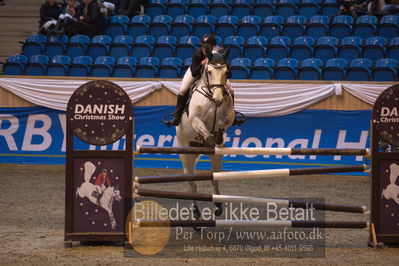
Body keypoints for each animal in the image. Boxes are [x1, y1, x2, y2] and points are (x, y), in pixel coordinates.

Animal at [177, 47, 236, 218]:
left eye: (226, 72)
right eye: (209, 71)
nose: (218, 99)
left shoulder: (229, 116)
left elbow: (223, 123)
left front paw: (218, 137)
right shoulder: (195, 120)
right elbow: (205, 131)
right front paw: (208, 137)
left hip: (216, 160)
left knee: (214, 179)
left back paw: (218, 206)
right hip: (186, 157)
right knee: (192, 185)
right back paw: (195, 212)